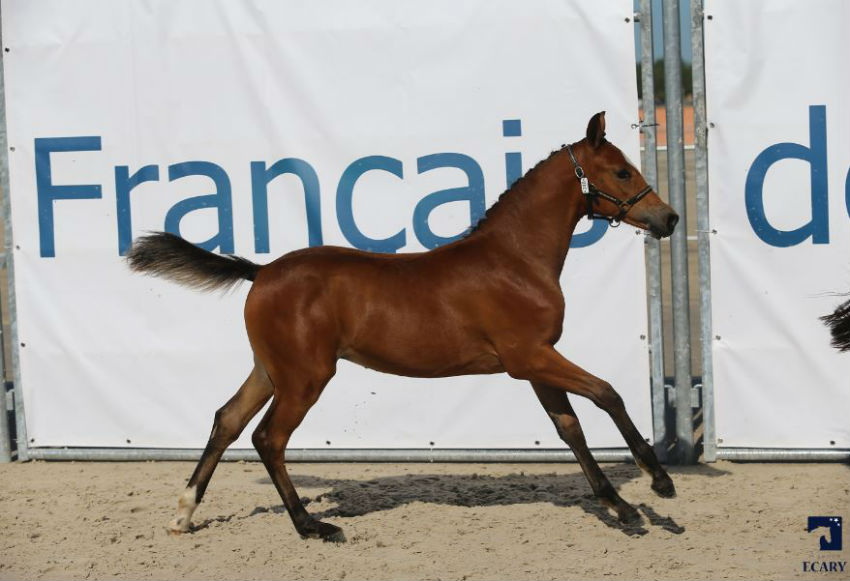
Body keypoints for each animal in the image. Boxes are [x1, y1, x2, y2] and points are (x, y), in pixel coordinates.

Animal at [129, 112, 680, 540]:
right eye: (622, 171)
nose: (669, 218)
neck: (515, 260)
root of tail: (261, 271)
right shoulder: (529, 356)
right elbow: (607, 393)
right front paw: (658, 482)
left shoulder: (536, 362)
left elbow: (570, 428)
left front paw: (619, 506)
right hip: (305, 377)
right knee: (268, 437)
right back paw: (311, 526)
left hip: (271, 370)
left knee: (227, 420)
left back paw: (184, 514)